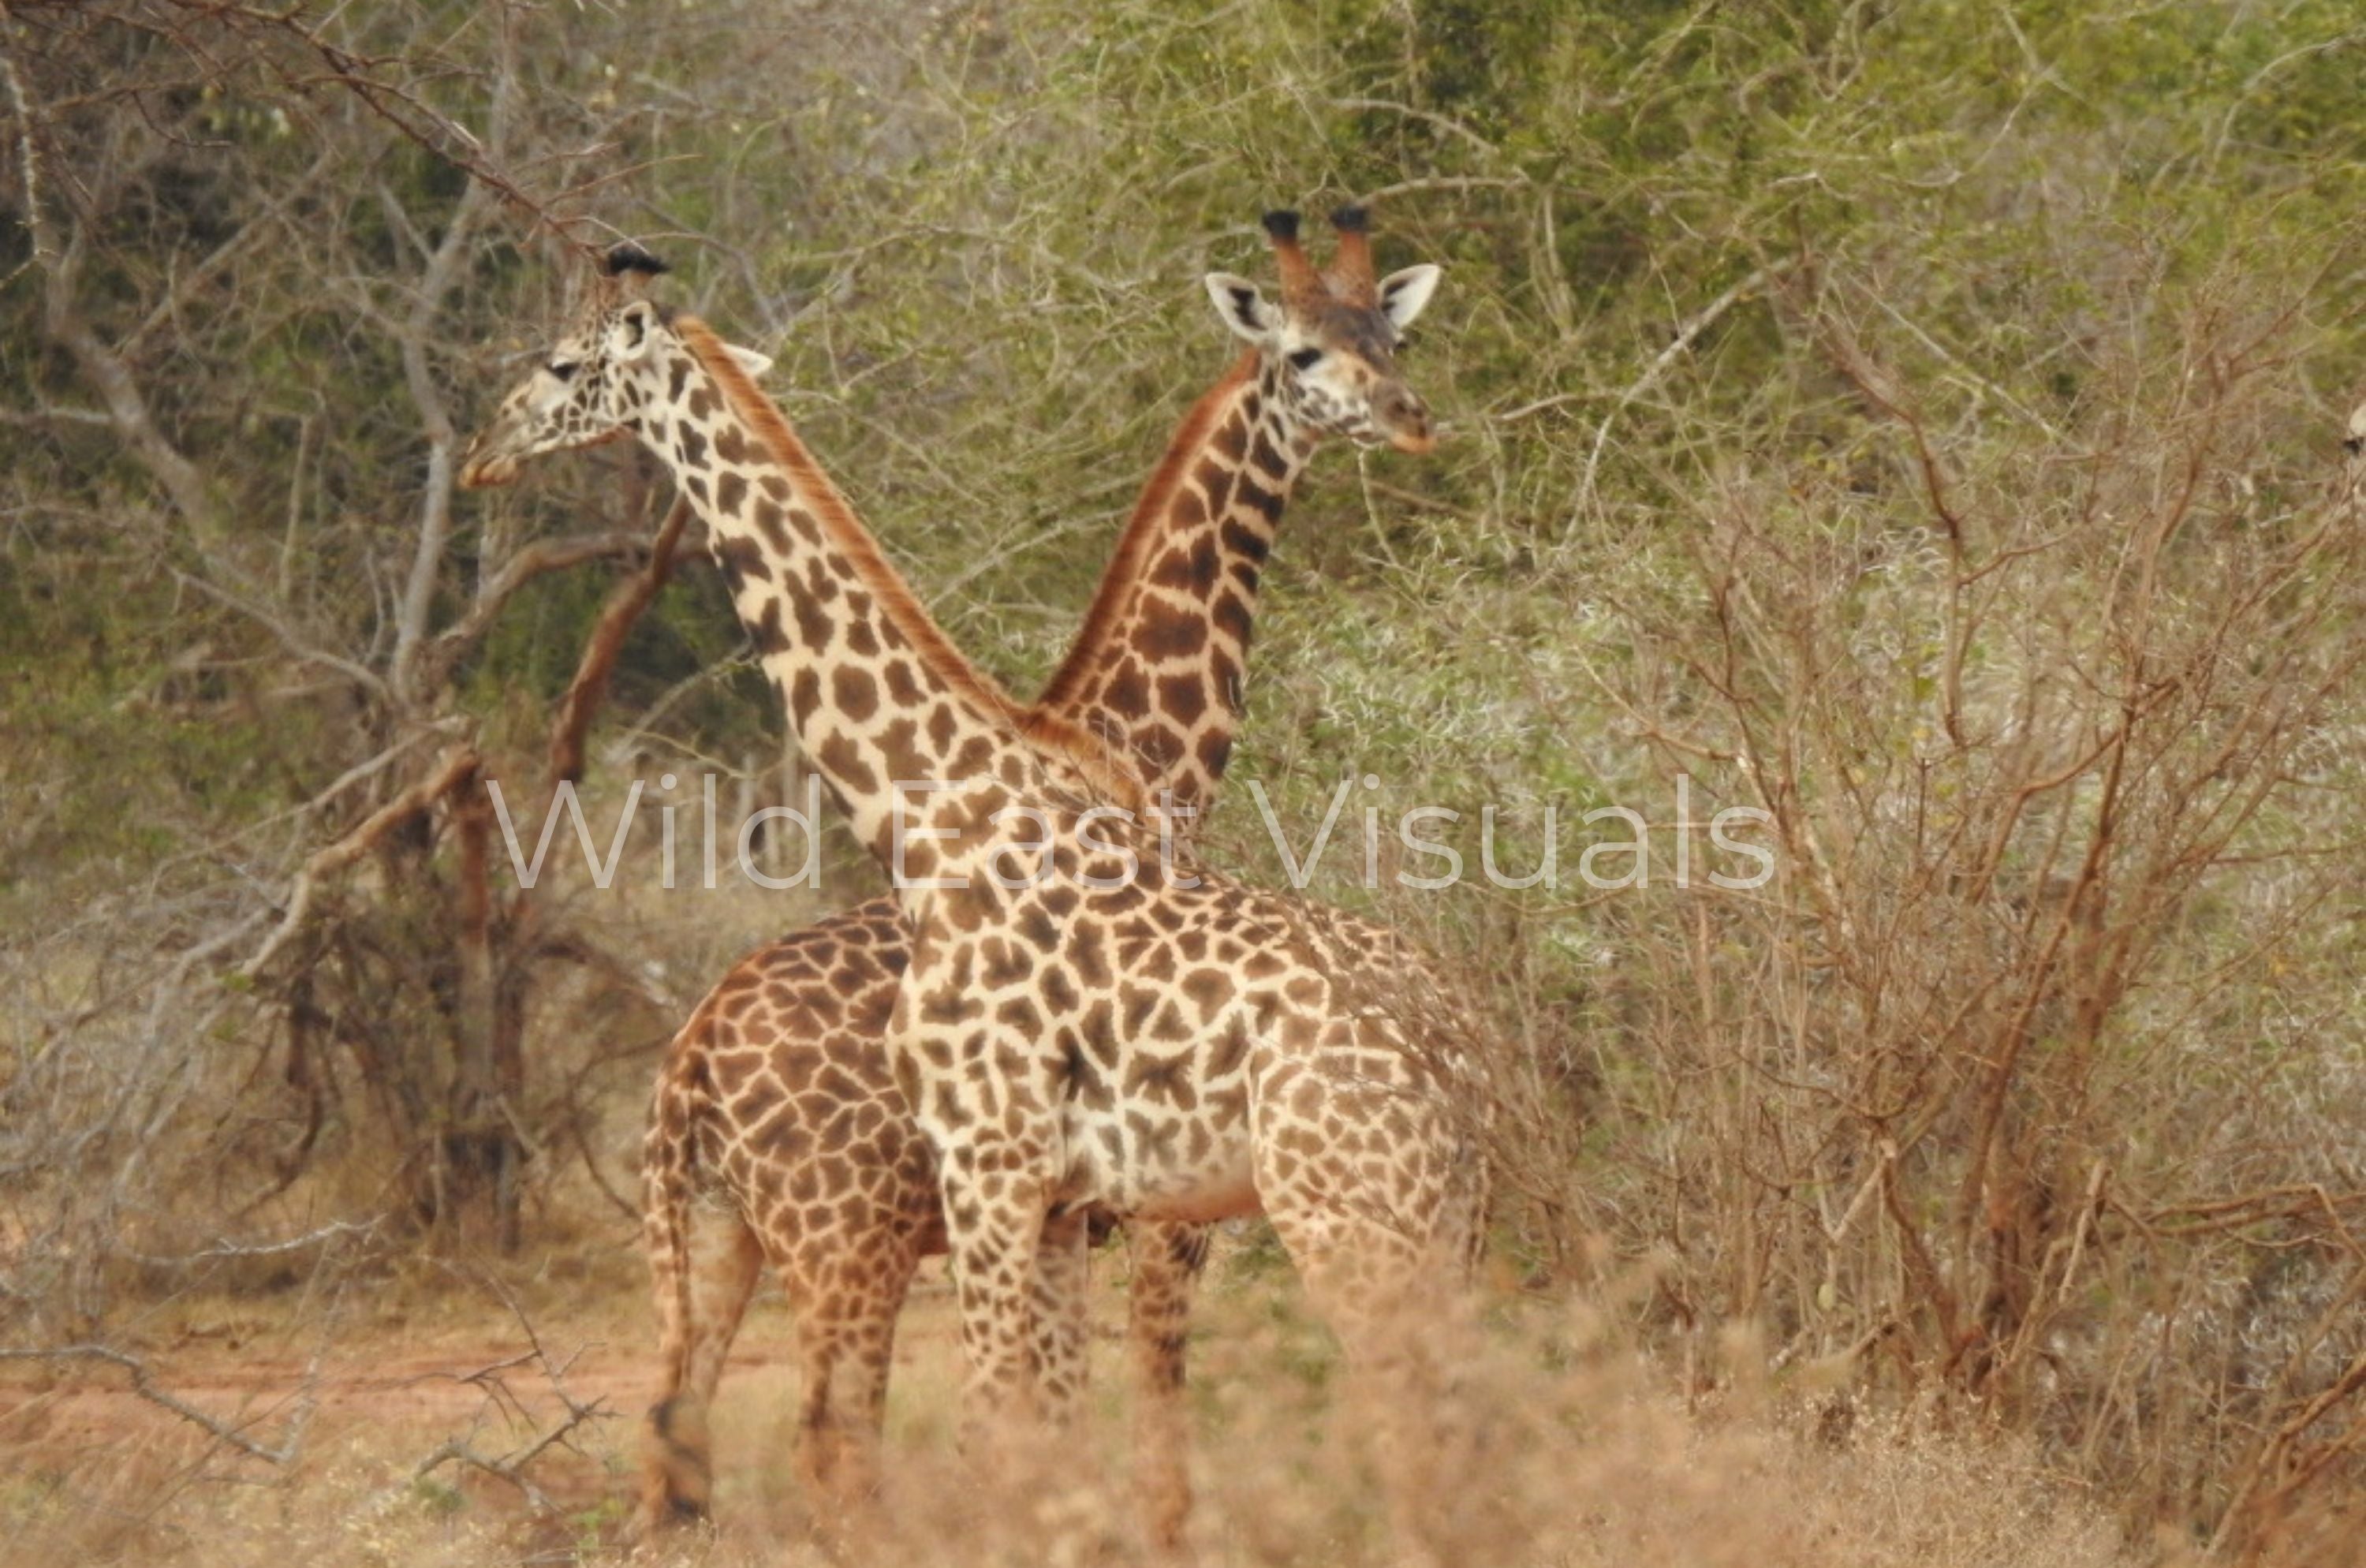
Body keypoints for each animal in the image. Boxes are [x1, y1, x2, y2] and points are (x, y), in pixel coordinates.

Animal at [458, 231, 1486, 1547]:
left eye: (558, 362)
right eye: (1310, 352)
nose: (488, 444)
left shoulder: (1042, 1190)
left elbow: (1053, 1437)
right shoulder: (1051, 1202)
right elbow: (1042, 1439)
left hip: (1337, 1216)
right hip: (772, 1237)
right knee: (719, 1450)